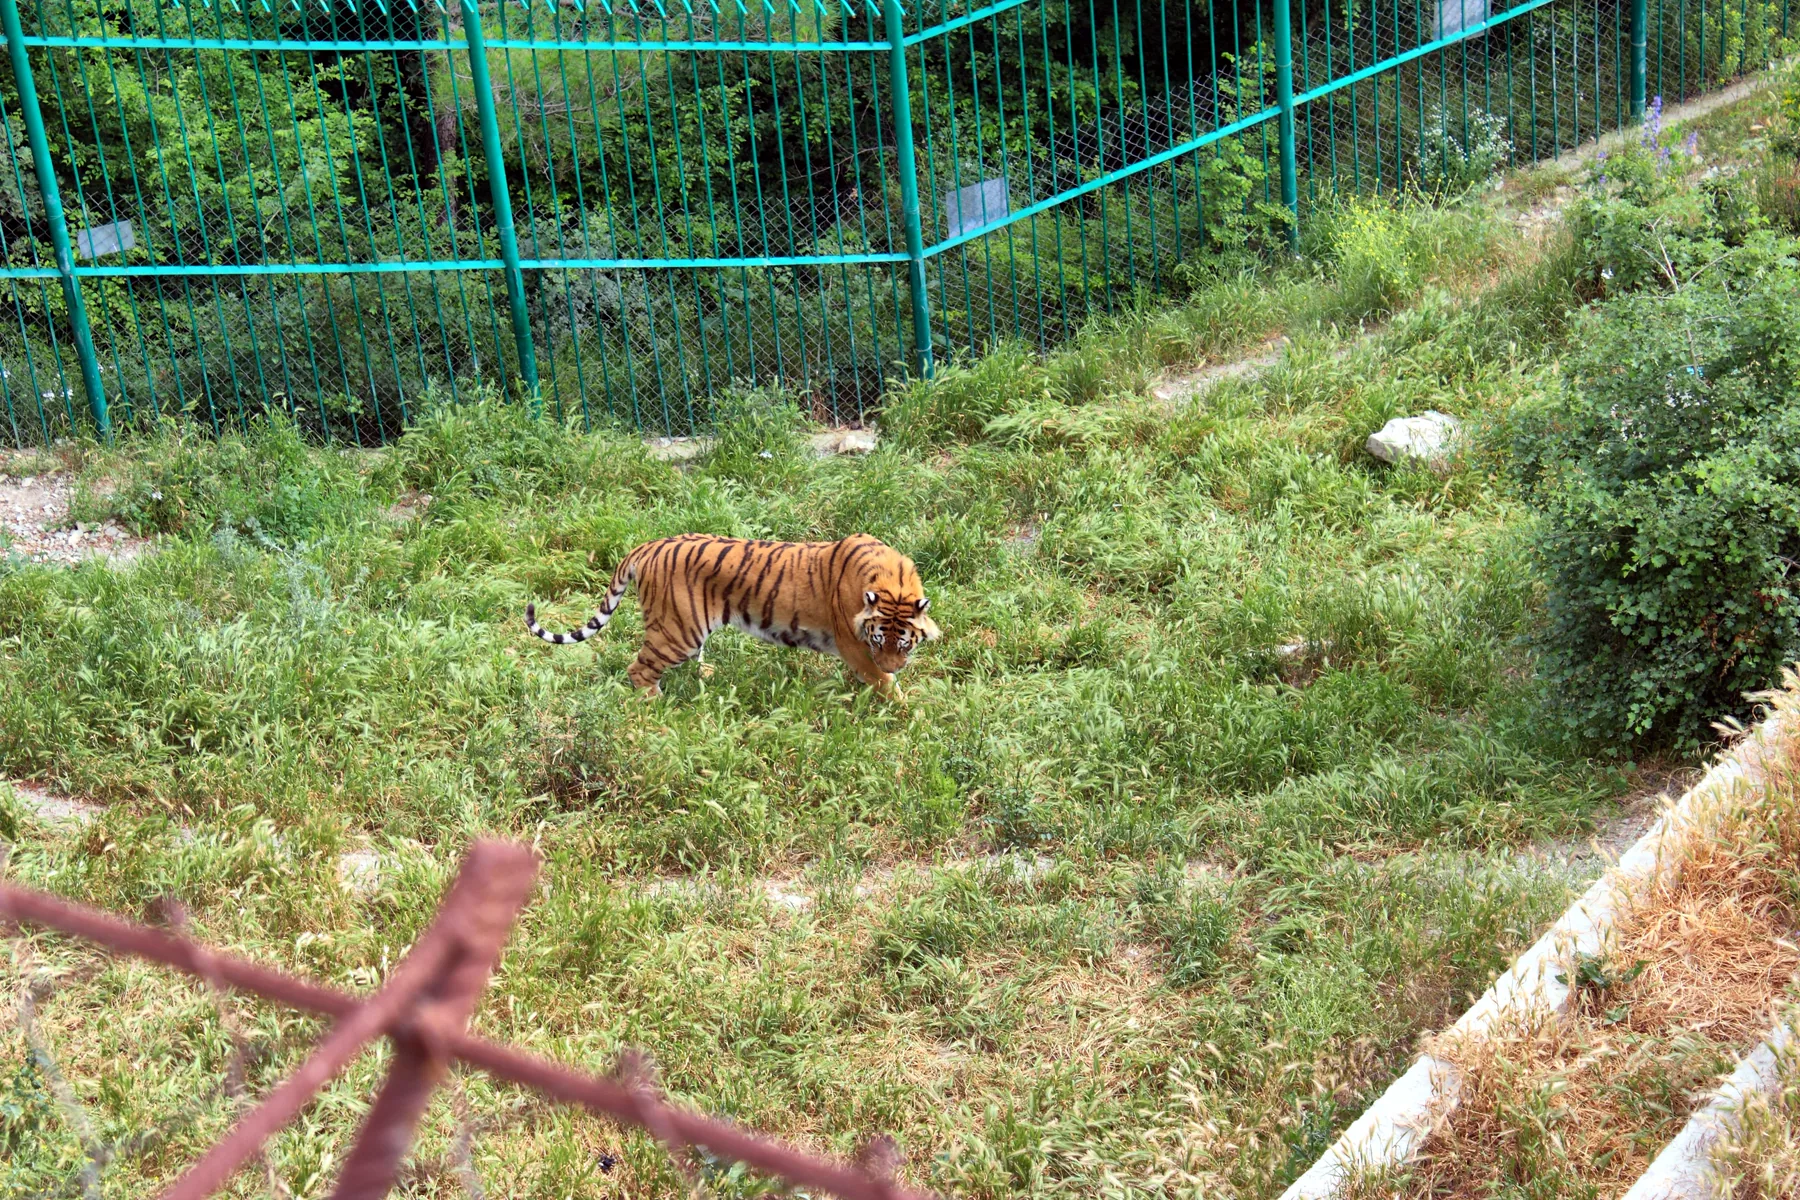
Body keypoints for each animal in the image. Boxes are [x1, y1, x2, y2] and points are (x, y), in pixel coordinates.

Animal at [523, 533, 940, 699]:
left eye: (904, 644)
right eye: (879, 639)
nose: (895, 664)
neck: (891, 581)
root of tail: (649, 545)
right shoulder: (853, 645)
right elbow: (883, 682)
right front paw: (908, 711)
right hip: (678, 632)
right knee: (638, 669)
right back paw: (656, 707)